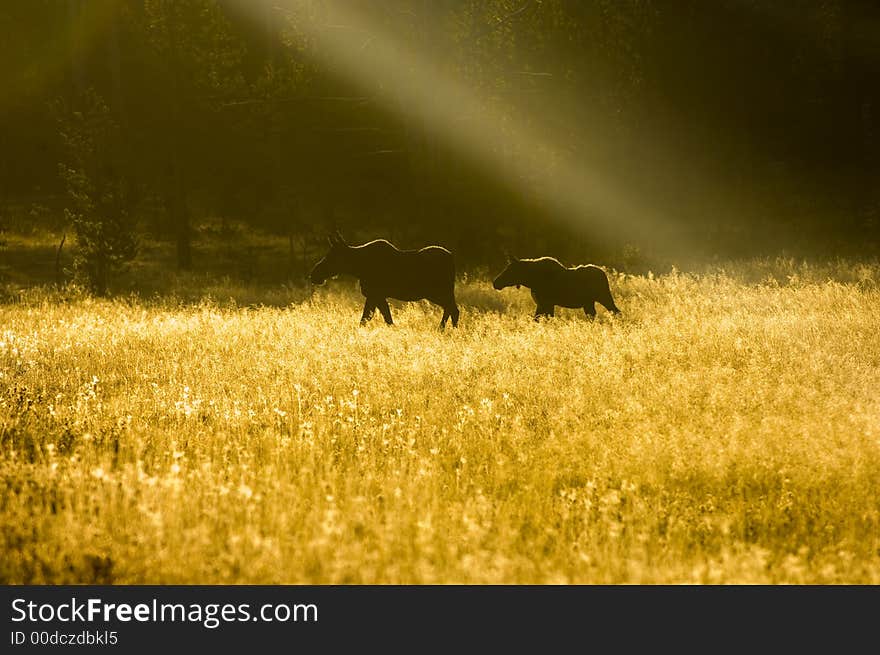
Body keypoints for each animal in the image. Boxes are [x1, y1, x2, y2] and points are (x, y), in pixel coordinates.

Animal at [310, 233, 460, 330]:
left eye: (331, 256)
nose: (314, 274)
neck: (358, 268)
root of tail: (452, 257)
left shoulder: (376, 295)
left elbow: (375, 319)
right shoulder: (374, 296)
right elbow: (374, 318)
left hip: (438, 292)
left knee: (453, 309)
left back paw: (445, 330)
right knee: (452, 309)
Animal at [492, 255, 624, 322]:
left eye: (510, 270)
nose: (495, 282)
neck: (531, 280)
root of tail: (604, 274)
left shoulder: (546, 303)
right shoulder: (543, 304)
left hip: (604, 296)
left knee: (616, 311)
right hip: (588, 302)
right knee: (594, 315)